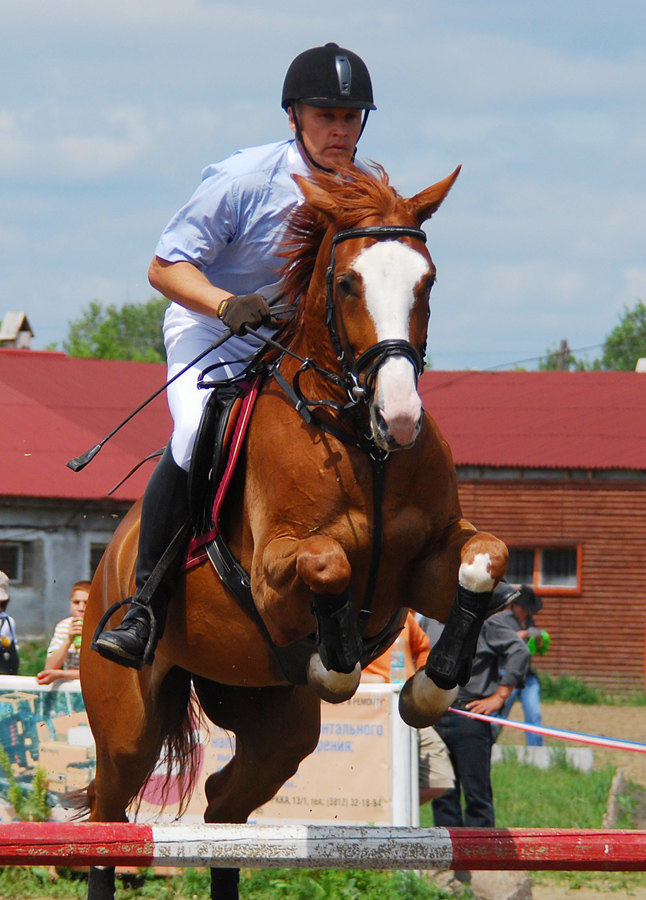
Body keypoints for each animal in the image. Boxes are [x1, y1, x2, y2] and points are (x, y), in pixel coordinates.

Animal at [81, 163, 508, 900]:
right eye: (347, 284)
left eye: (426, 282)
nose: (400, 418)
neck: (361, 442)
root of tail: (108, 564)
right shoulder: (273, 573)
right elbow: (328, 564)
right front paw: (334, 664)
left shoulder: (426, 562)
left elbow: (486, 557)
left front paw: (431, 687)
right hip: (127, 724)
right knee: (109, 818)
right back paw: (132, 629)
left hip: (272, 725)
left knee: (224, 807)